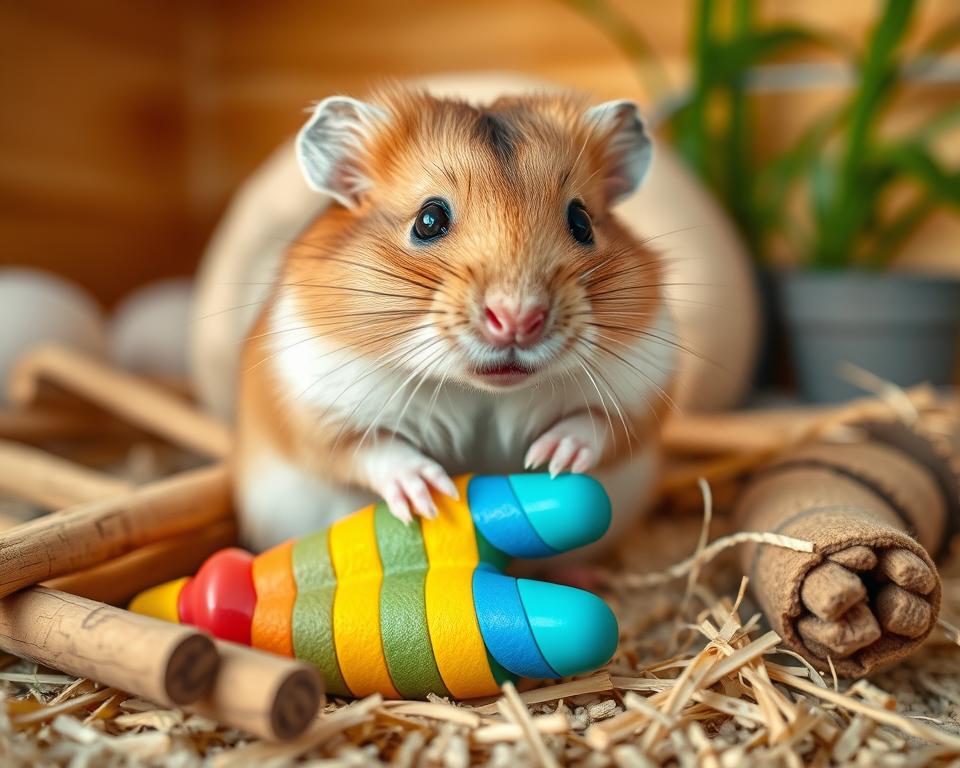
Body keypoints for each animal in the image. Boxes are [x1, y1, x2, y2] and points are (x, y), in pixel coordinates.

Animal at [236, 85, 677, 554]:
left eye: (581, 222)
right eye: (429, 220)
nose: (517, 318)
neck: (482, 390)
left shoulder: (644, 395)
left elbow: (599, 424)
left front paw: (552, 459)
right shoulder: (314, 411)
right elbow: (371, 449)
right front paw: (430, 496)